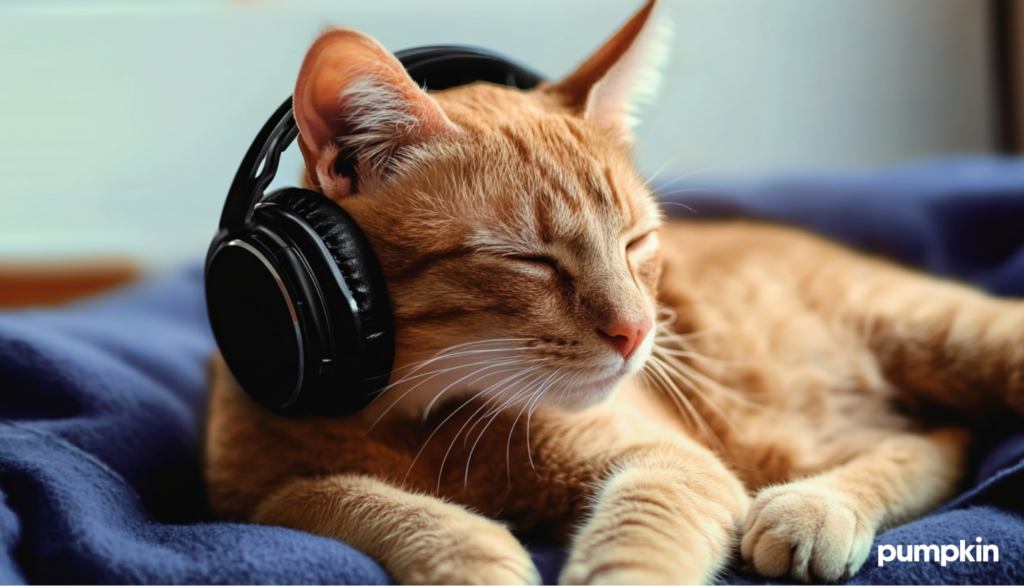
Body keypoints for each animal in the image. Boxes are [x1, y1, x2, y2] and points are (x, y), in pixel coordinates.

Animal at [201, 2, 1024, 581]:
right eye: (528, 260)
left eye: (635, 243)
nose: (636, 332)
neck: (415, 418)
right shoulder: (254, 500)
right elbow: (348, 495)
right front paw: (469, 553)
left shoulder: (671, 461)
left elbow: (641, 540)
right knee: (937, 440)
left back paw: (810, 508)